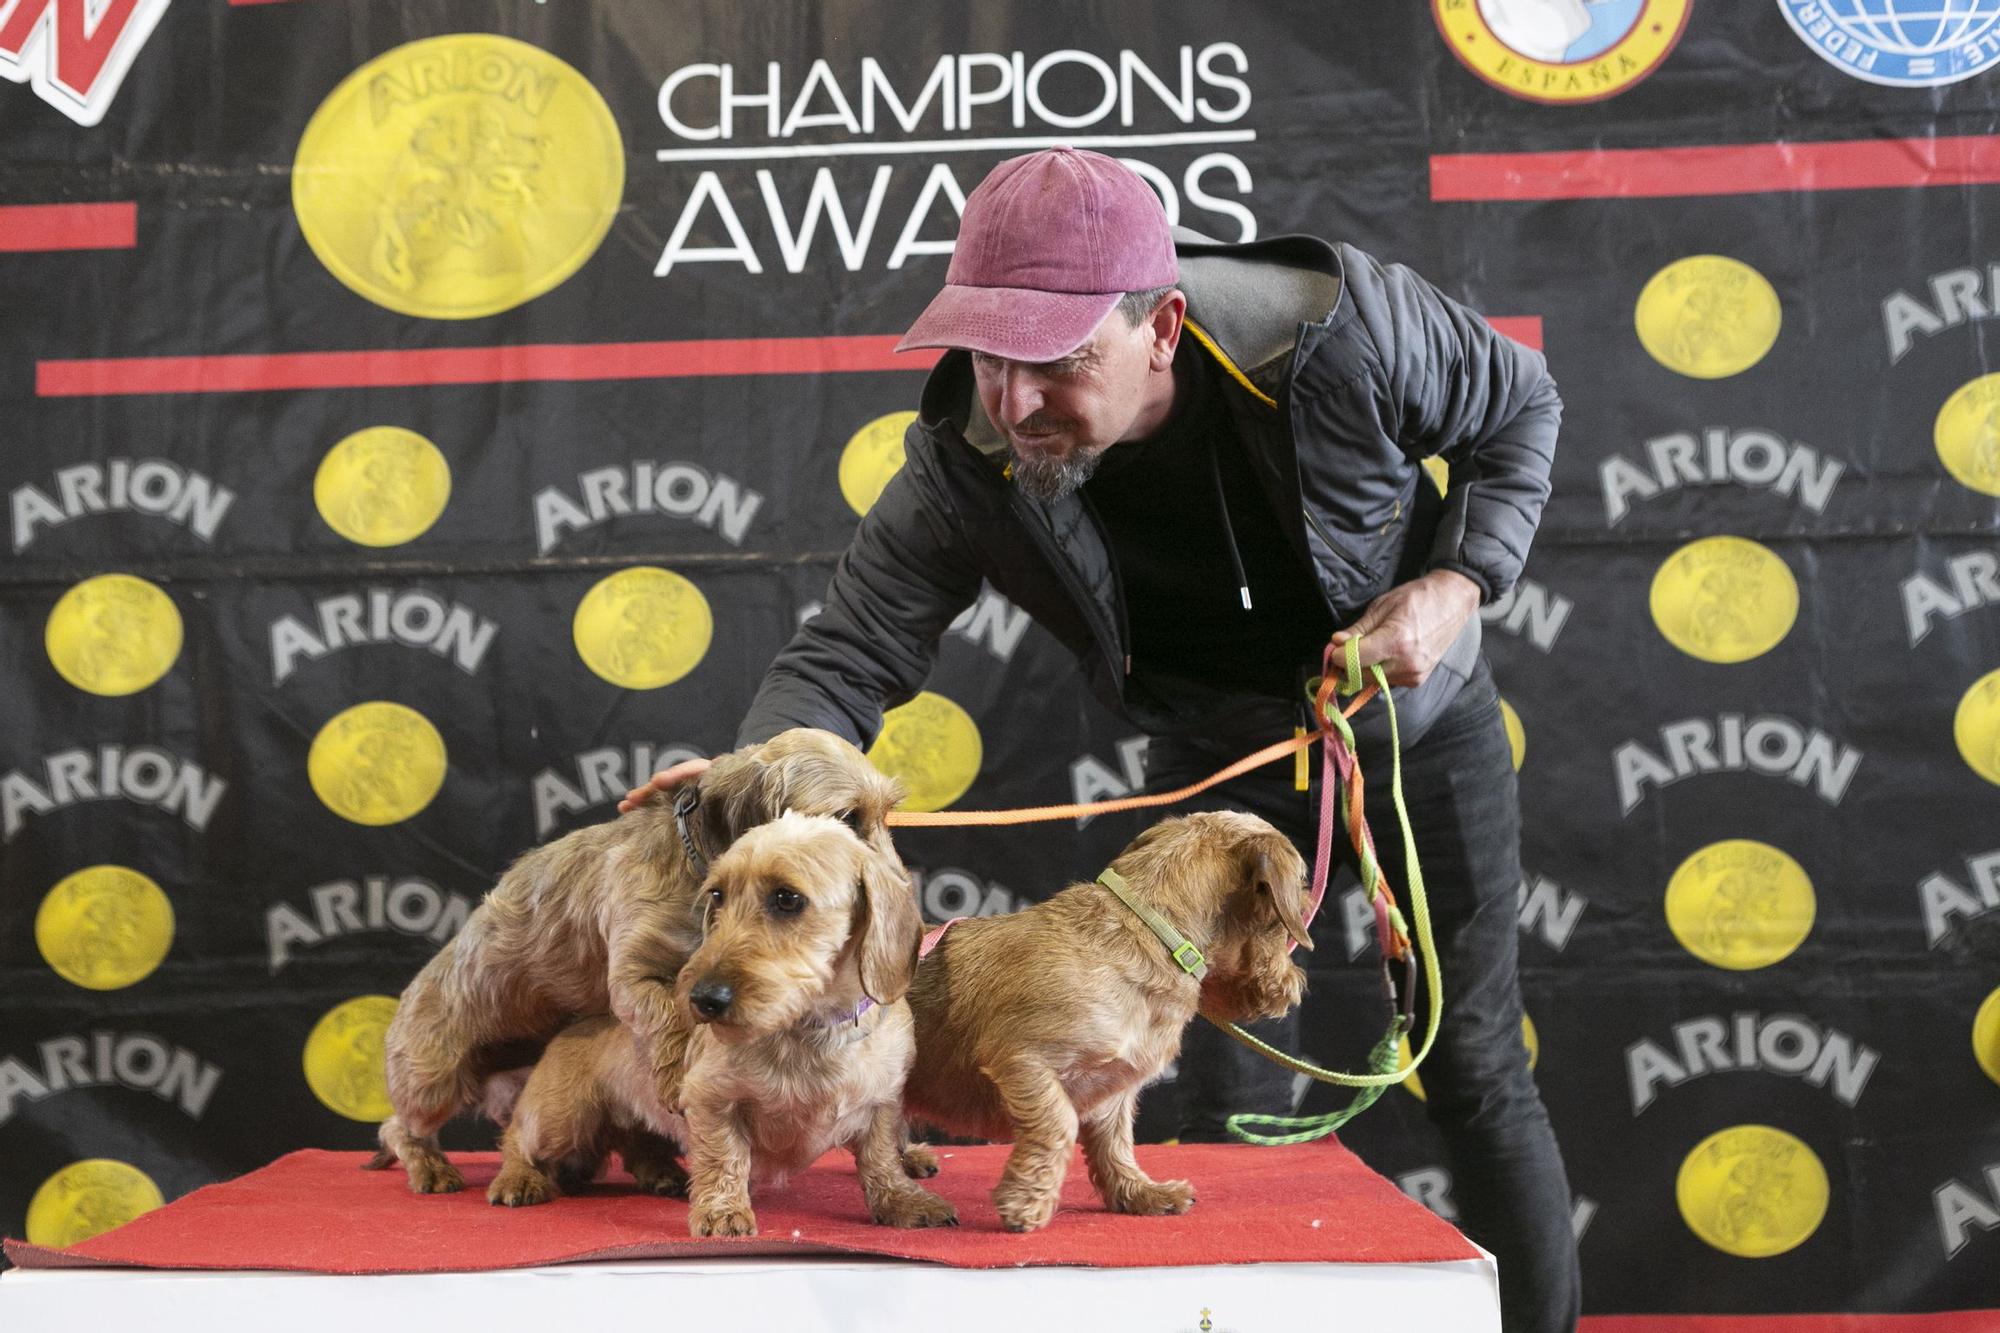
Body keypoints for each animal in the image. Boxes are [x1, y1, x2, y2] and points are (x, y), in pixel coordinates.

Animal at [372, 728, 912, 1192]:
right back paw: (429, 1166)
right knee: (398, 1127)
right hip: (431, 1078)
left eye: (887, 814)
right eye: (845, 817)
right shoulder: (636, 974)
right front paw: (675, 1080)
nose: (901, 890)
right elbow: (671, 1015)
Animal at [480, 808, 956, 1232]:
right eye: (717, 896)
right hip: (561, 1118)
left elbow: (880, 1158)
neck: (808, 1030)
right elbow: (724, 1156)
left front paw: (902, 1201)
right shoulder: (712, 1100)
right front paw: (723, 1211)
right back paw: (517, 1178)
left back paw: (662, 1173)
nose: (701, 1000)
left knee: (636, 1143)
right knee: (515, 1137)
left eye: (787, 898)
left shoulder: (882, 1103)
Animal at [904, 808, 1312, 1232]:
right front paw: (1027, 1200)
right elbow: (1059, 1123)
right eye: (1291, 912)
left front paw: (1139, 1192)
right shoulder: (1022, 1059)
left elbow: (1116, 1144)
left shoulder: (1113, 1088)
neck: (1154, 933)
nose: (1293, 984)